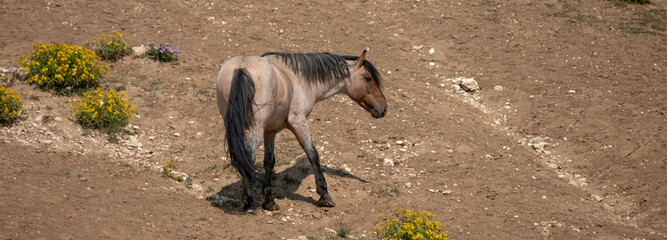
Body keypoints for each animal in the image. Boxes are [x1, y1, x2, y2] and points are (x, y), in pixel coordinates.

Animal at [217, 50, 388, 212]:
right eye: (368, 78)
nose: (384, 108)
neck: (296, 79)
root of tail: (241, 67)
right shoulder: (298, 123)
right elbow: (313, 154)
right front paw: (324, 195)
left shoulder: (270, 131)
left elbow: (269, 161)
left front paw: (269, 202)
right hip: (256, 129)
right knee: (249, 157)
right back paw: (249, 203)